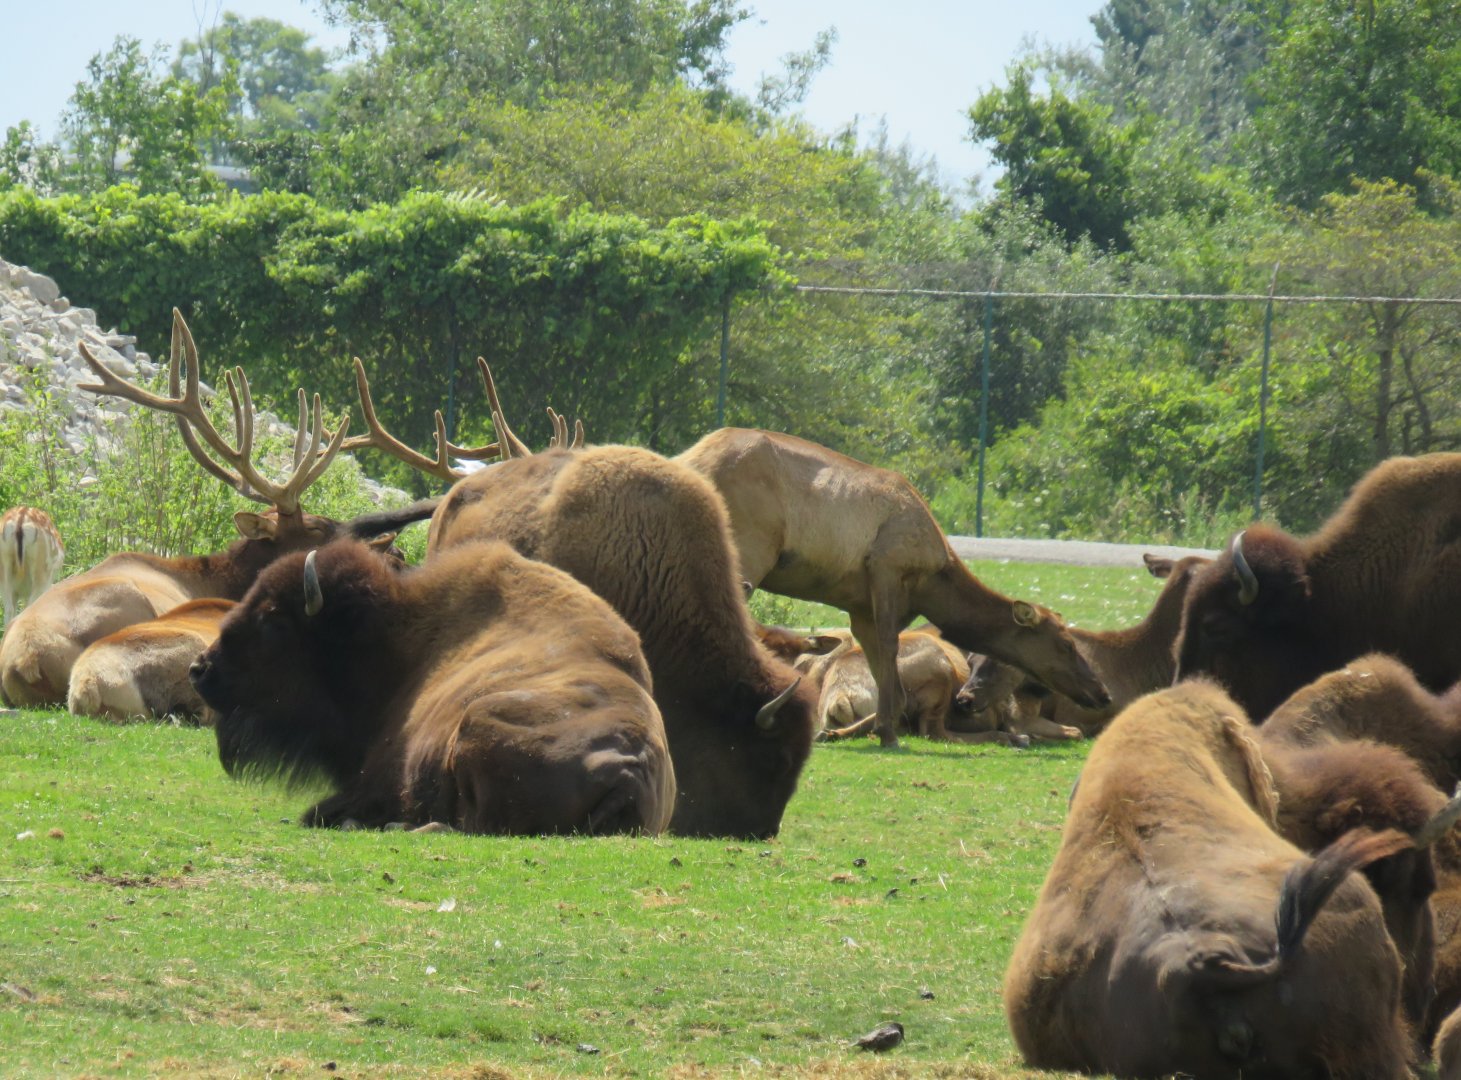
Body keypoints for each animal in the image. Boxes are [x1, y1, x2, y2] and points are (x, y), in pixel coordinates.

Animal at [676, 428, 1109, 747]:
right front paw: (888, 735)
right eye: (1066, 644)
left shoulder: (859, 606)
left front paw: (877, 729)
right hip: (748, 551)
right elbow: (889, 655)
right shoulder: (886, 568)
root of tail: (685, 460)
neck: (935, 585)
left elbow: (886, 674)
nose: (1102, 693)